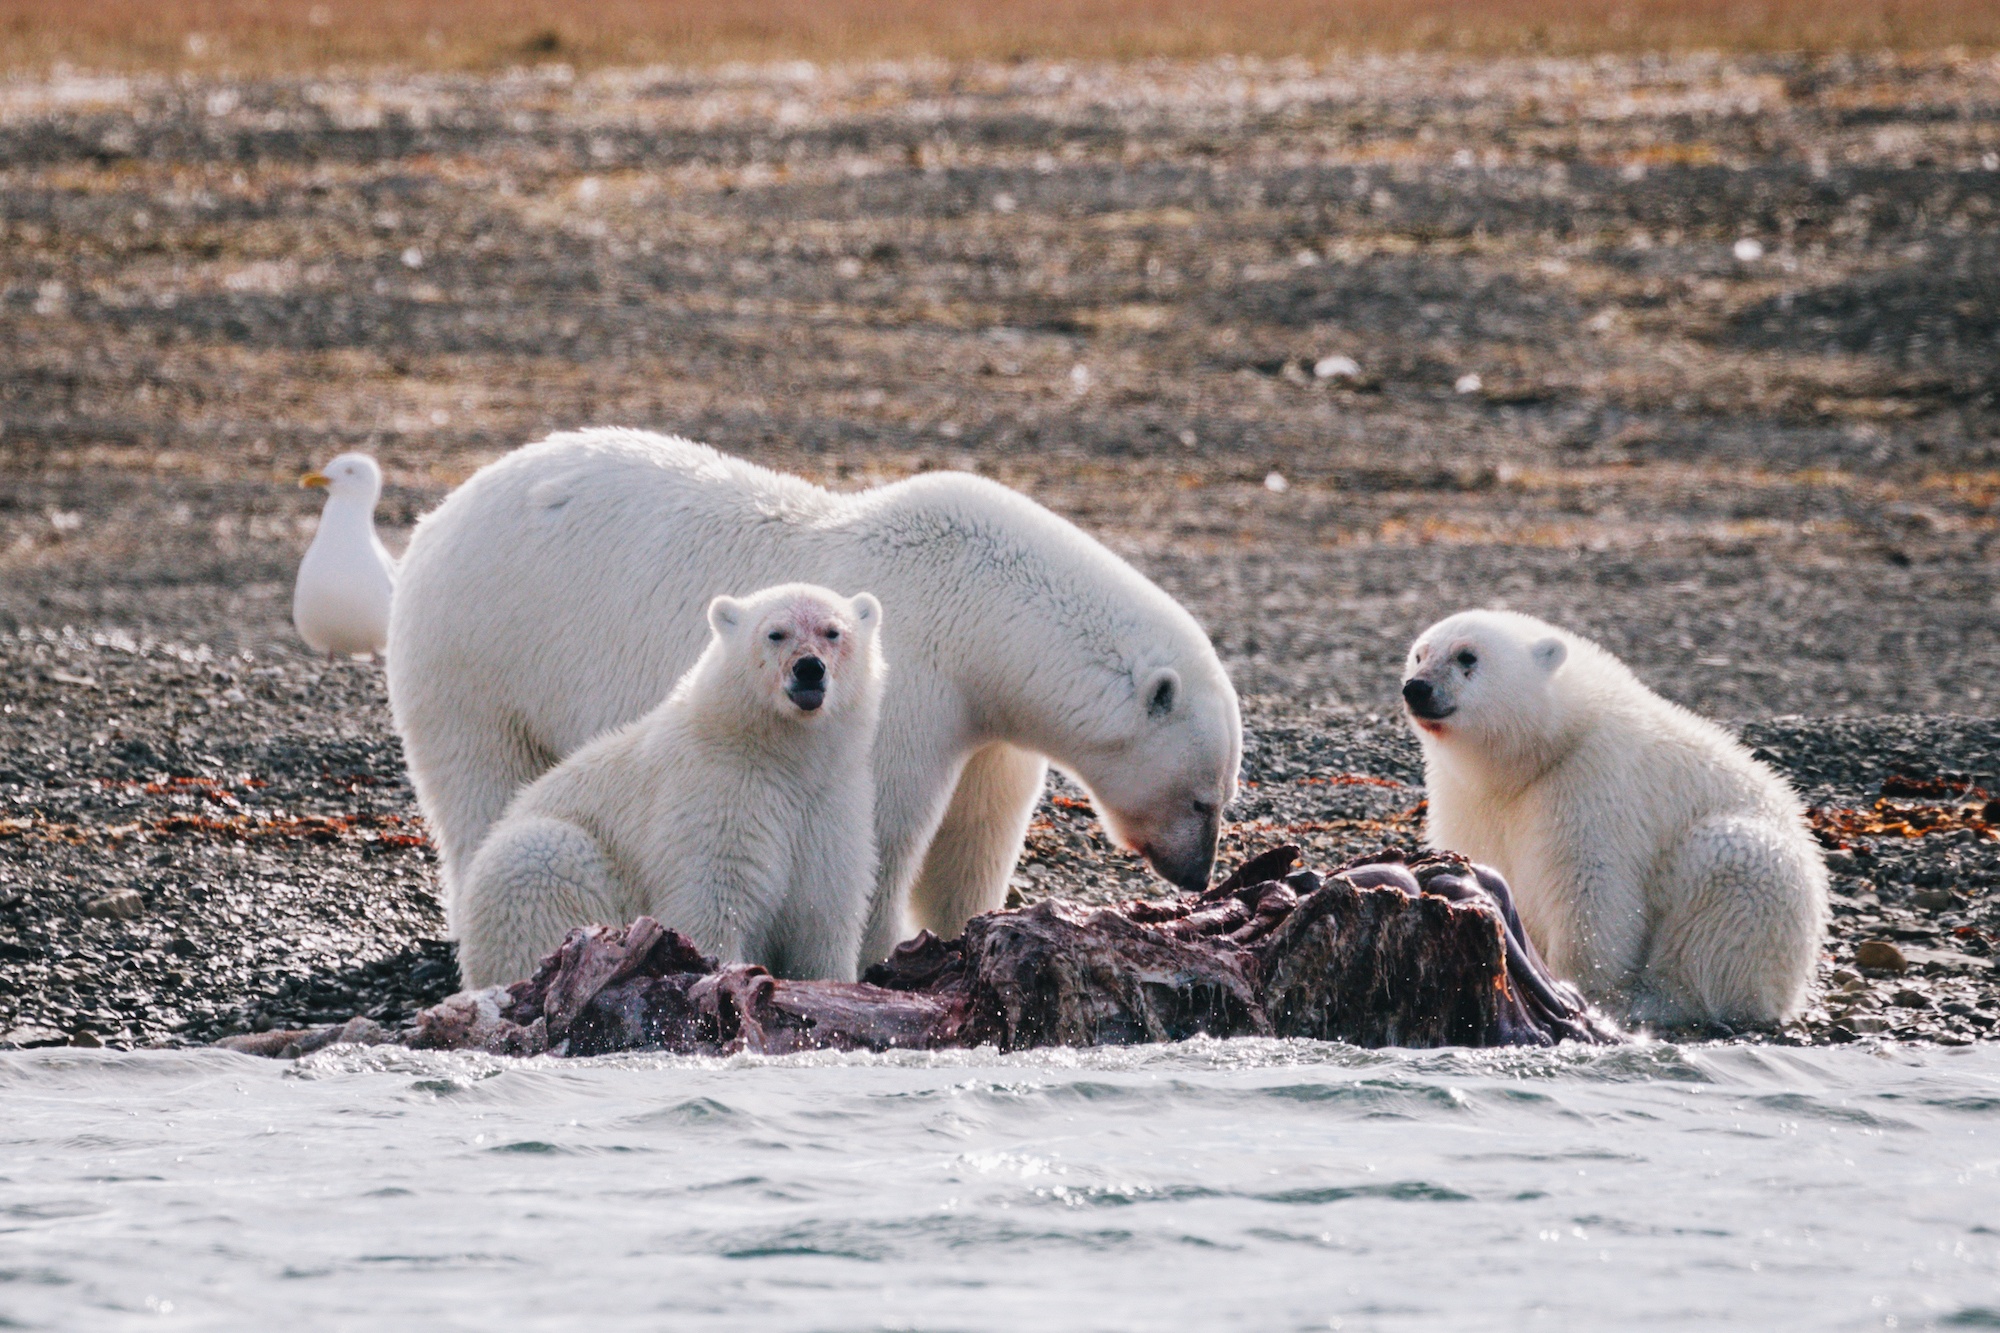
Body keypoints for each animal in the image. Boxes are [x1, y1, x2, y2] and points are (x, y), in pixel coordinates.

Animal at [384, 430, 1240, 960]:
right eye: (1205, 798)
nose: (1197, 876)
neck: (983, 610)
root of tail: (431, 521)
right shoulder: (914, 689)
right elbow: (886, 832)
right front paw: (881, 952)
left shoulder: (986, 723)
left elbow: (976, 833)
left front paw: (971, 925)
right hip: (480, 652)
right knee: (484, 783)